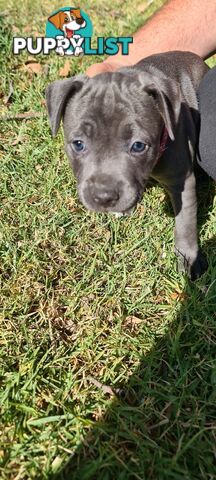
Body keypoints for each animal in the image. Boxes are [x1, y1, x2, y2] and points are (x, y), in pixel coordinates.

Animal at [46, 50, 209, 280]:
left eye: (138, 146)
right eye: (78, 144)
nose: (104, 197)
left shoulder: (182, 180)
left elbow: (185, 222)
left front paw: (189, 259)